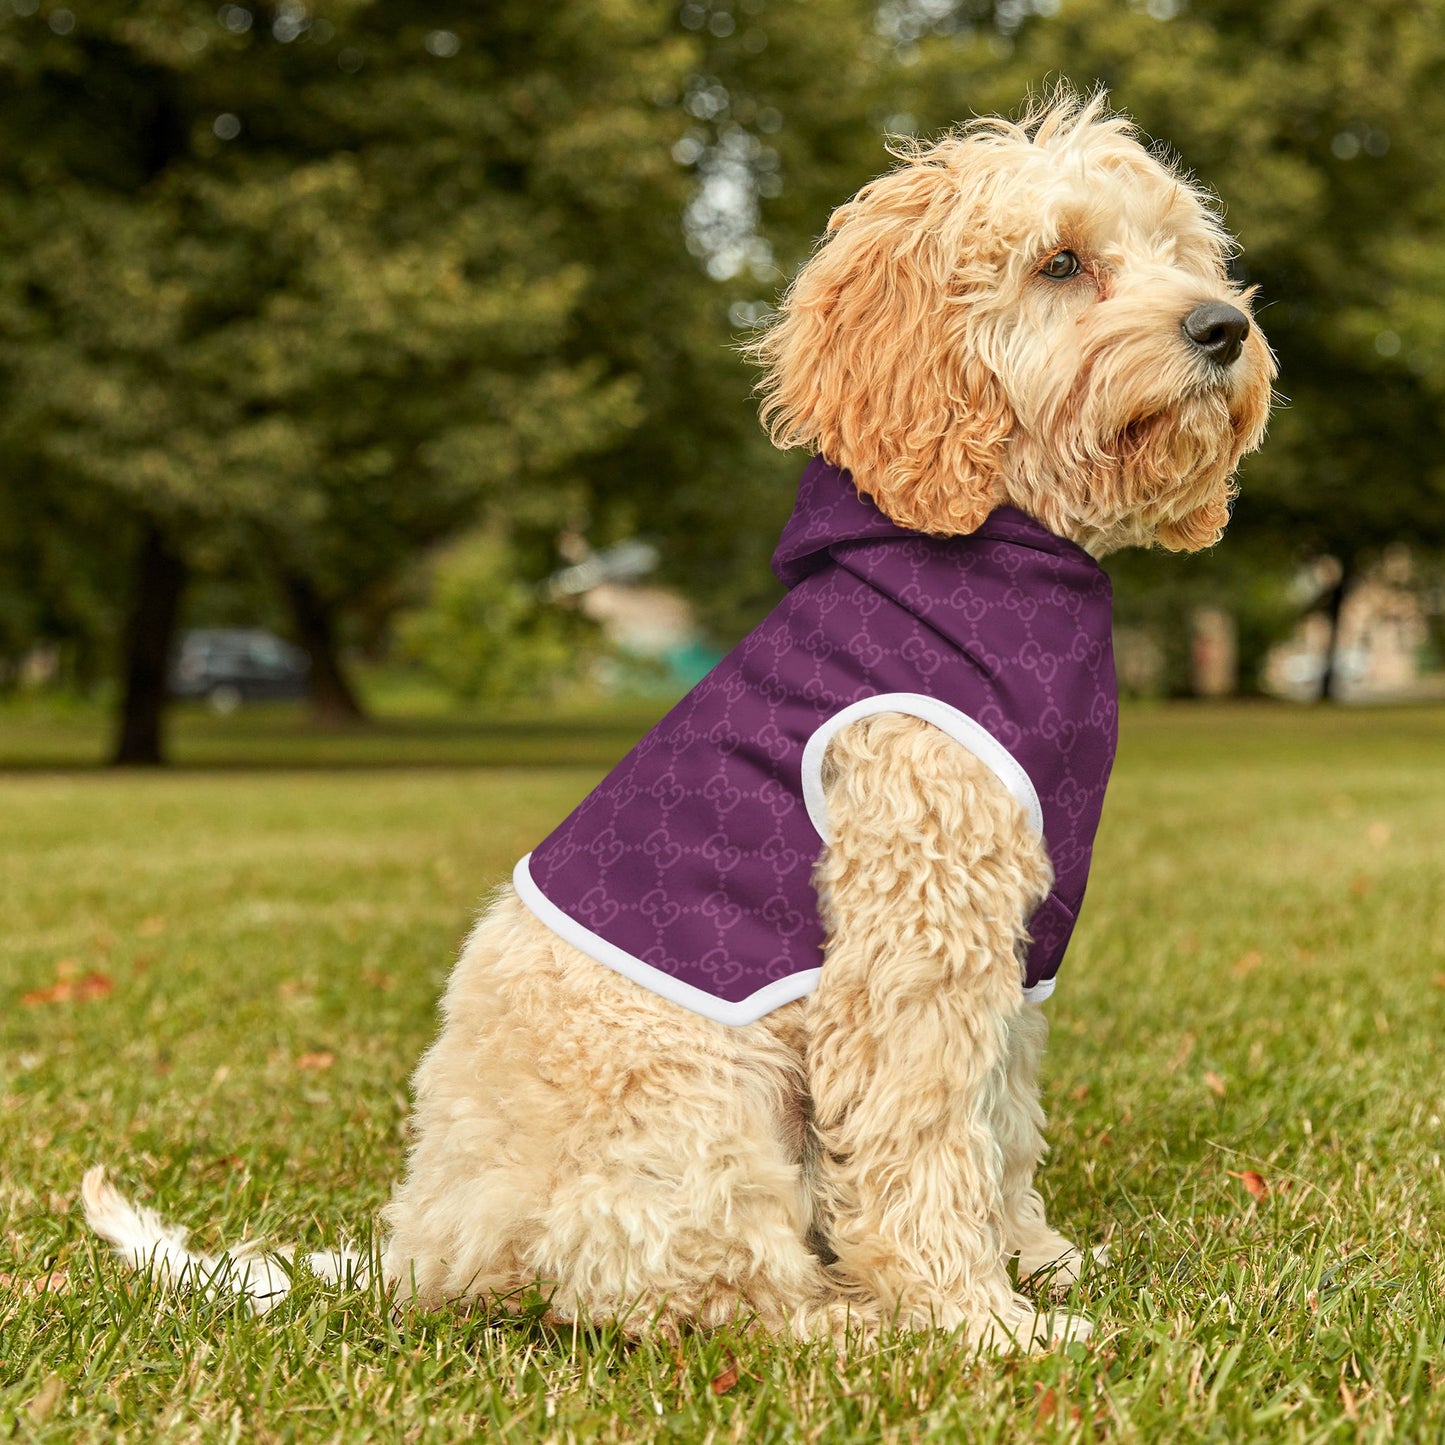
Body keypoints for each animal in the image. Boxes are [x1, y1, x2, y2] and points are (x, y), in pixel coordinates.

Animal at [84, 93, 1271, 1352]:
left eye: (1180, 252)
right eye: (1060, 262)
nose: (1222, 327)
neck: (988, 551)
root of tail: (423, 1247)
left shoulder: (1011, 946)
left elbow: (998, 1121)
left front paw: (1035, 1260)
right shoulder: (912, 936)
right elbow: (923, 1137)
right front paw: (976, 1318)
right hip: (702, 1101)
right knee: (699, 1291)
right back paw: (852, 1322)